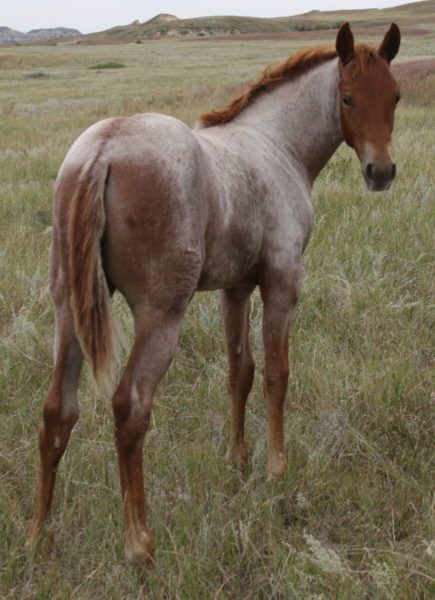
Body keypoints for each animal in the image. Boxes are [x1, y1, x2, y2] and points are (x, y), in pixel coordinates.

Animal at [27, 19, 402, 564]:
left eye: (395, 96)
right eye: (348, 98)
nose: (381, 172)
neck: (276, 144)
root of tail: (104, 149)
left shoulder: (236, 289)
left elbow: (239, 373)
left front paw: (237, 461)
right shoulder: (282, 281)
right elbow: (276, 374)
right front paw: (275, 468)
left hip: (69, 311)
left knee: (58, 410)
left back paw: (38, 534)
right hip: (161, 316)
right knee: (130, 405)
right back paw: (139, 544)